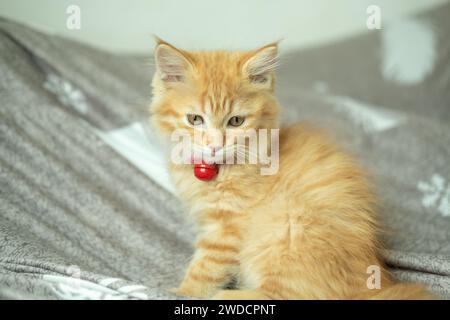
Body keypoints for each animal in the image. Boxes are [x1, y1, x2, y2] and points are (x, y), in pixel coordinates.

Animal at [150, 38, 432, 298]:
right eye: (194, 119)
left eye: (236, 121)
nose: (215, 145)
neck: (218, 171)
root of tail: (371, 287)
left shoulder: (226, 229)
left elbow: (205, 269)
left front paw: (181, 292)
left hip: (286, 232)